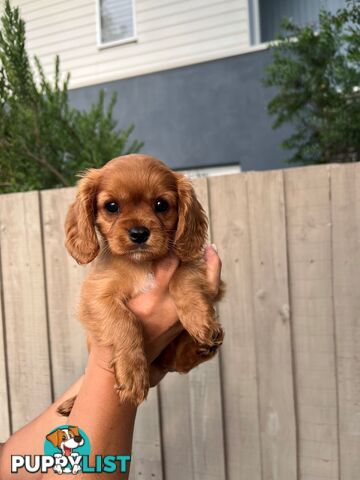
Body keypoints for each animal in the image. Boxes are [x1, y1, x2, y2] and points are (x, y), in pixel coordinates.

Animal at [59, 154, 222, 408]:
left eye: (161, 205)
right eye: (112, 206)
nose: (139, 233)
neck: (141, 264)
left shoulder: (194, 263)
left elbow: (183, 279)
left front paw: (199, 320)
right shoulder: (94, 296)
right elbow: (125, 321)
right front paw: (132, 372)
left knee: (176, 362)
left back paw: (201, 346)